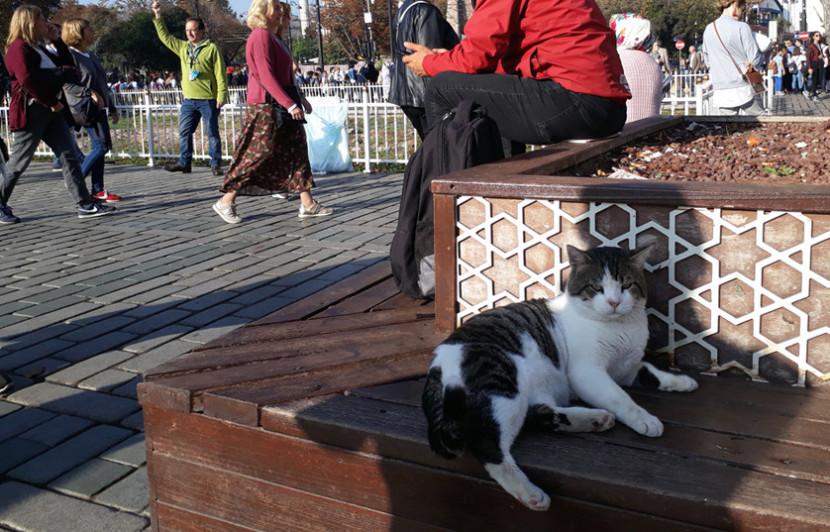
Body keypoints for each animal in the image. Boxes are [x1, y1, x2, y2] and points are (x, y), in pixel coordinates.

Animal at [422, 244, 704, 512]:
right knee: (489, 447)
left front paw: (681, 381)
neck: (620, 330)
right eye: (597, 287)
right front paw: (643, 418)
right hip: (502, 386)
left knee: (540, 415)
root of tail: (435, 371)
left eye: (626, 285)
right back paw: (530, 493)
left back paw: (593, 420)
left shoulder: (628, 368)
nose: (614, 302)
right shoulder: (587, 373)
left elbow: (651, 371)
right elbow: (620, 397)